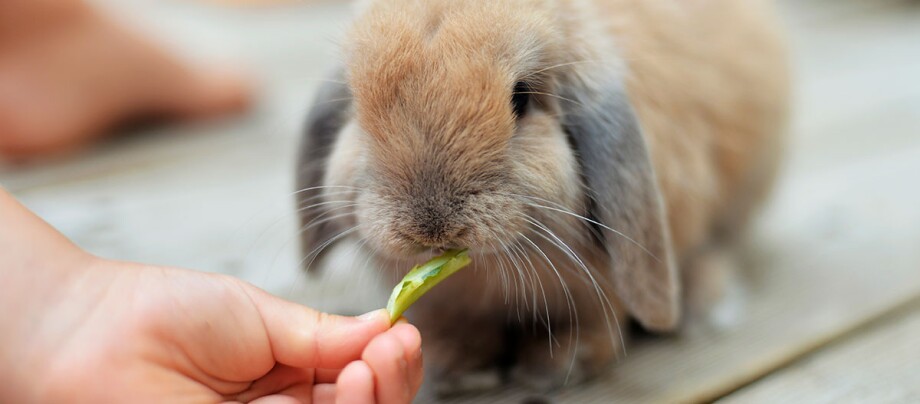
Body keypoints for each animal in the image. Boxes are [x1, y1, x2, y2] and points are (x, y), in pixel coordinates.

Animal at [295, 0, 789, 394]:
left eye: (522, 98)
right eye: (355, 103)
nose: (431, 226)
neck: (487, 279)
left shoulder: (598, 293)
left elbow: (590, 324)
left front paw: (554, 370)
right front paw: (456, 371)